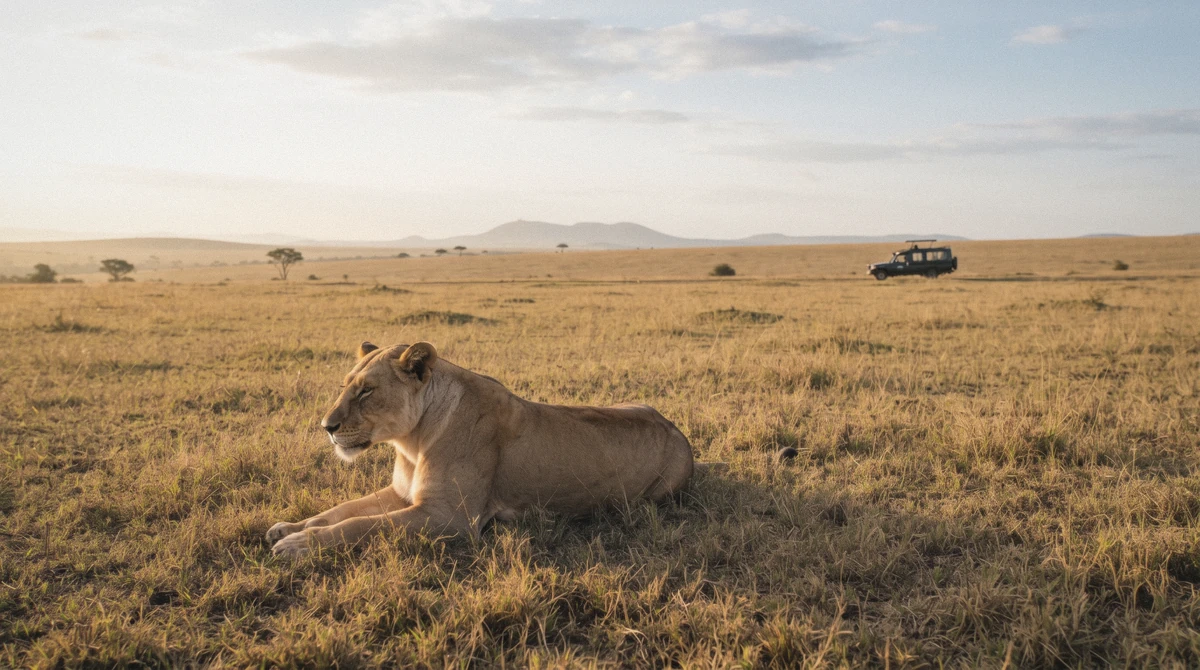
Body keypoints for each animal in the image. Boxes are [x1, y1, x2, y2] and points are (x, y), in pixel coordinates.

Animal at [266, 341, 703, 558]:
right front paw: (289, 527)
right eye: (345, 386)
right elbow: (342, 510)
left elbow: (364, 525)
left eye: (367, 391)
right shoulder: (402, 494)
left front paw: (299, 545)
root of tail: (676, 429)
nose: (326, 427)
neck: (411, 441)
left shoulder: (450, 518)